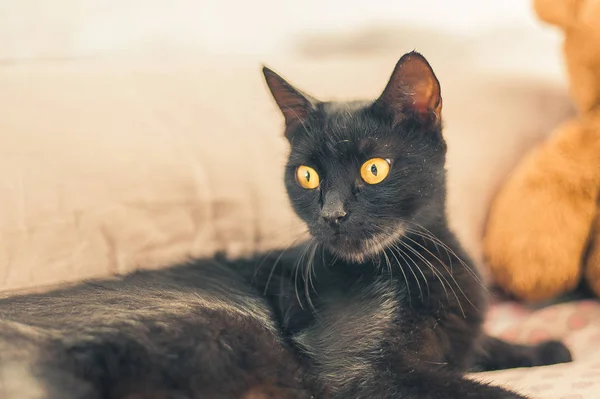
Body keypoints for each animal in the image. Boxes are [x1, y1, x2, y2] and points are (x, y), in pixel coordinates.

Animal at [0, 53, 568, 399]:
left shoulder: (453, 341)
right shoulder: (359, 372)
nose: (333, 213)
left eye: (374, 169)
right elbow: (477, 388)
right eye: (307, 174)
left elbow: (479, 345)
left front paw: (544, 348)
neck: (427, 259)